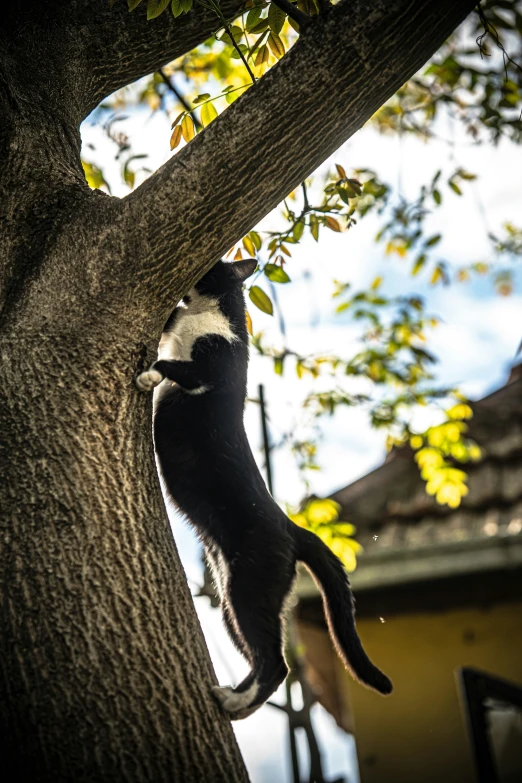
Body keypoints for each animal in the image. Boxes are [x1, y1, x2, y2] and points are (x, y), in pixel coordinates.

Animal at [135, 260, 390, 720]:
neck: (206, 314)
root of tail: (291, 527)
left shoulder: (213, 367)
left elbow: (171, 365)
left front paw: (148, 375)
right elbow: (168, 341)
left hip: (249, 588)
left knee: (277, 664)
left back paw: (234, 702)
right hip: (229, 598)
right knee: (264, 658)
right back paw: (235, 697)